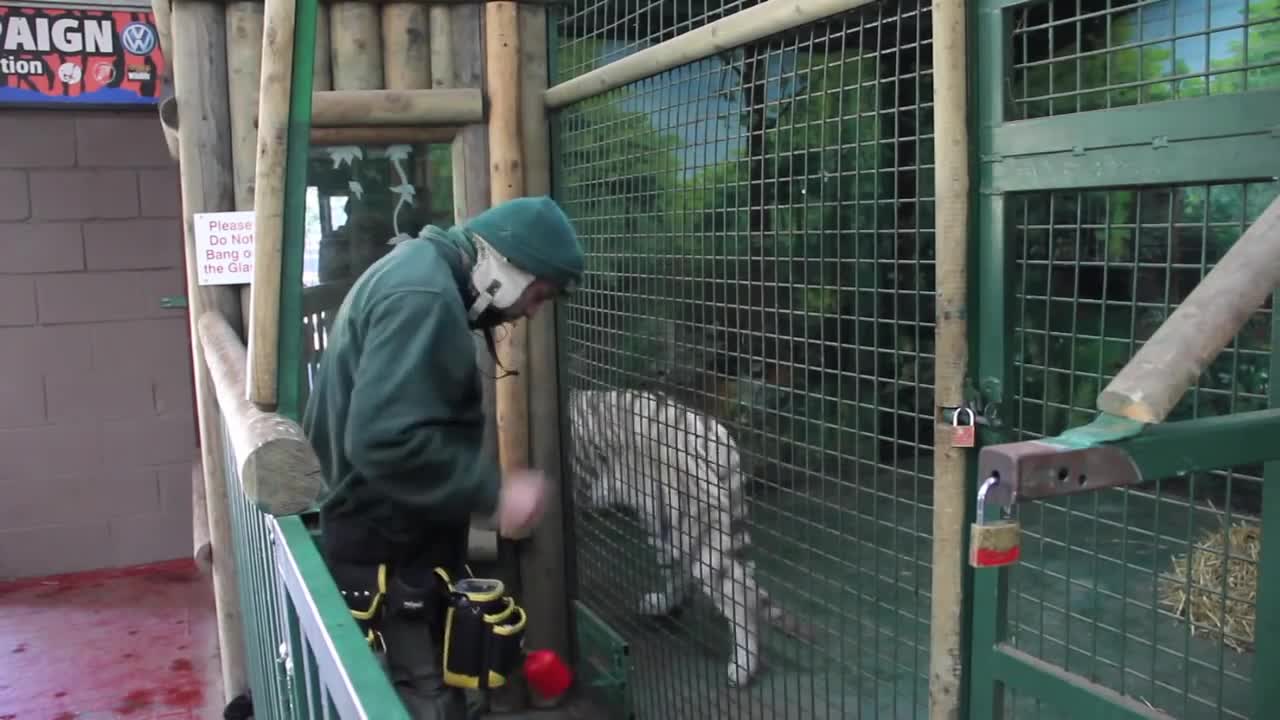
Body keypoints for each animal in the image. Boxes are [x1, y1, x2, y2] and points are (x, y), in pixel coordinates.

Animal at [565, 386, 803, 681]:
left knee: (738, 594)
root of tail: (711, 429)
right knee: (686, 576)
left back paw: (742, 666)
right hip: (666, 523)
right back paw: (662, 604)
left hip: (693, 530)